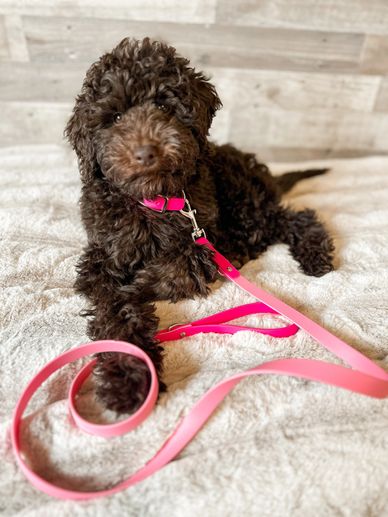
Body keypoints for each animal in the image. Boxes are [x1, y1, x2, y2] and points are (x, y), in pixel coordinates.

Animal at [65, 36, 334, 414]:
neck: (154, 199)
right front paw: (130, 379)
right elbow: (113, 307)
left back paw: (312, 255)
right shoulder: (102, 253)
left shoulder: (201, 242)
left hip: (243, 201)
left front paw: (136, 289)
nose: (145, 153)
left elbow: (172, 272)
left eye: (164, 106)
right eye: (115, 117)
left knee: (293, 218)